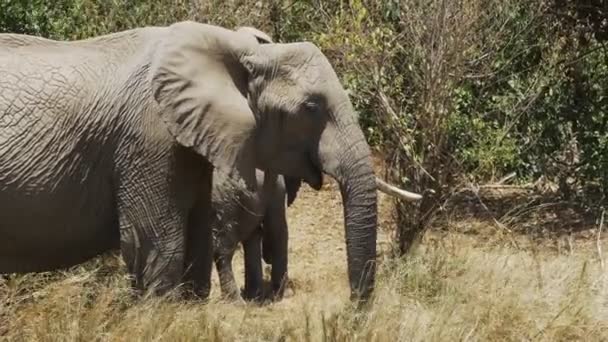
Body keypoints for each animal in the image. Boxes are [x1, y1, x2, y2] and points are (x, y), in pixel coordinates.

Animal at [211, 169, 302, 302]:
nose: (268, 258)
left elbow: (254, 235)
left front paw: (254, 296)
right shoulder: (276, 188)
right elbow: (277, 229)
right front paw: (283, 294)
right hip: (225, 201)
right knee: (223, 250)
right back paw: (235, 302)